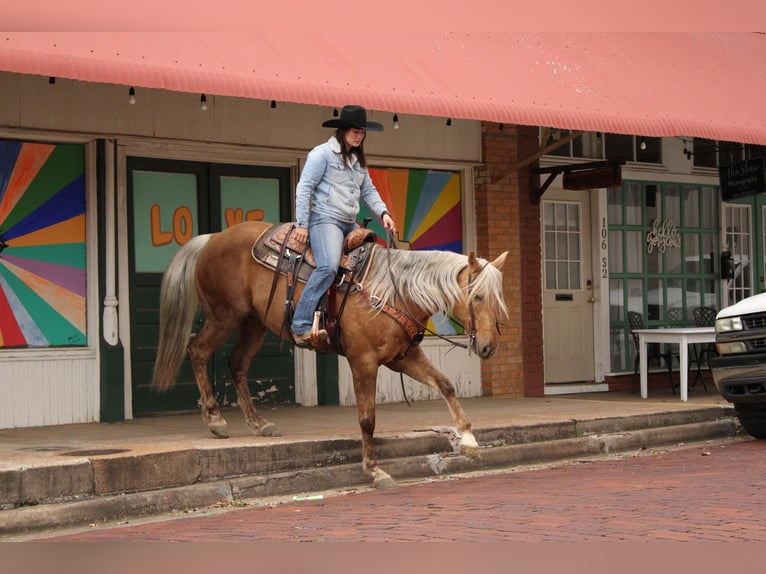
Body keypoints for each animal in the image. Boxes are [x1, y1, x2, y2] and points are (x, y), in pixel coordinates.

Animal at [152, 223, 510, 488]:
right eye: (477, 296)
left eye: (498, 297)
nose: (488, 347)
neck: (393, 291)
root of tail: (212, 238)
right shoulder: (363, 361)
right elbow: (368, 419)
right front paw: (374, 469)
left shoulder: (403, 358)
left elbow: (446, 384)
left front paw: (469, 439)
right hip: (224, 316)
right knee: (198, 351)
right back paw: (214, 418)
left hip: (254, 322)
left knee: (236, 364)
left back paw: (259, 423)